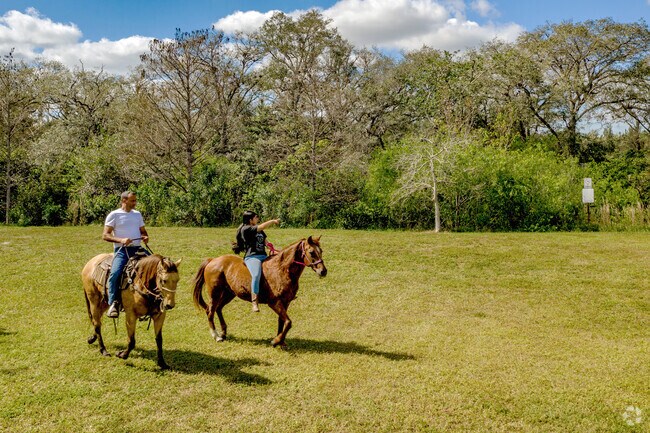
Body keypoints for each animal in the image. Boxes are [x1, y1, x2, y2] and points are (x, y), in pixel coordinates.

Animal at [192, 236, 327, 348]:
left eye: (321, 251)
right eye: (312, 252)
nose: (323, 271)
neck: (282, 270)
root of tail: (212, 260)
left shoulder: (285, 302)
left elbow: (282, 321)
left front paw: (280, 341)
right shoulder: (274, 303)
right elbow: (288, 322)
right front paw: (276, 340)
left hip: (228, 293)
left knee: (218, 308)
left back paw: (224, 333)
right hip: (214, 293)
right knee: (210, 311)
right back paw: (216, 336)